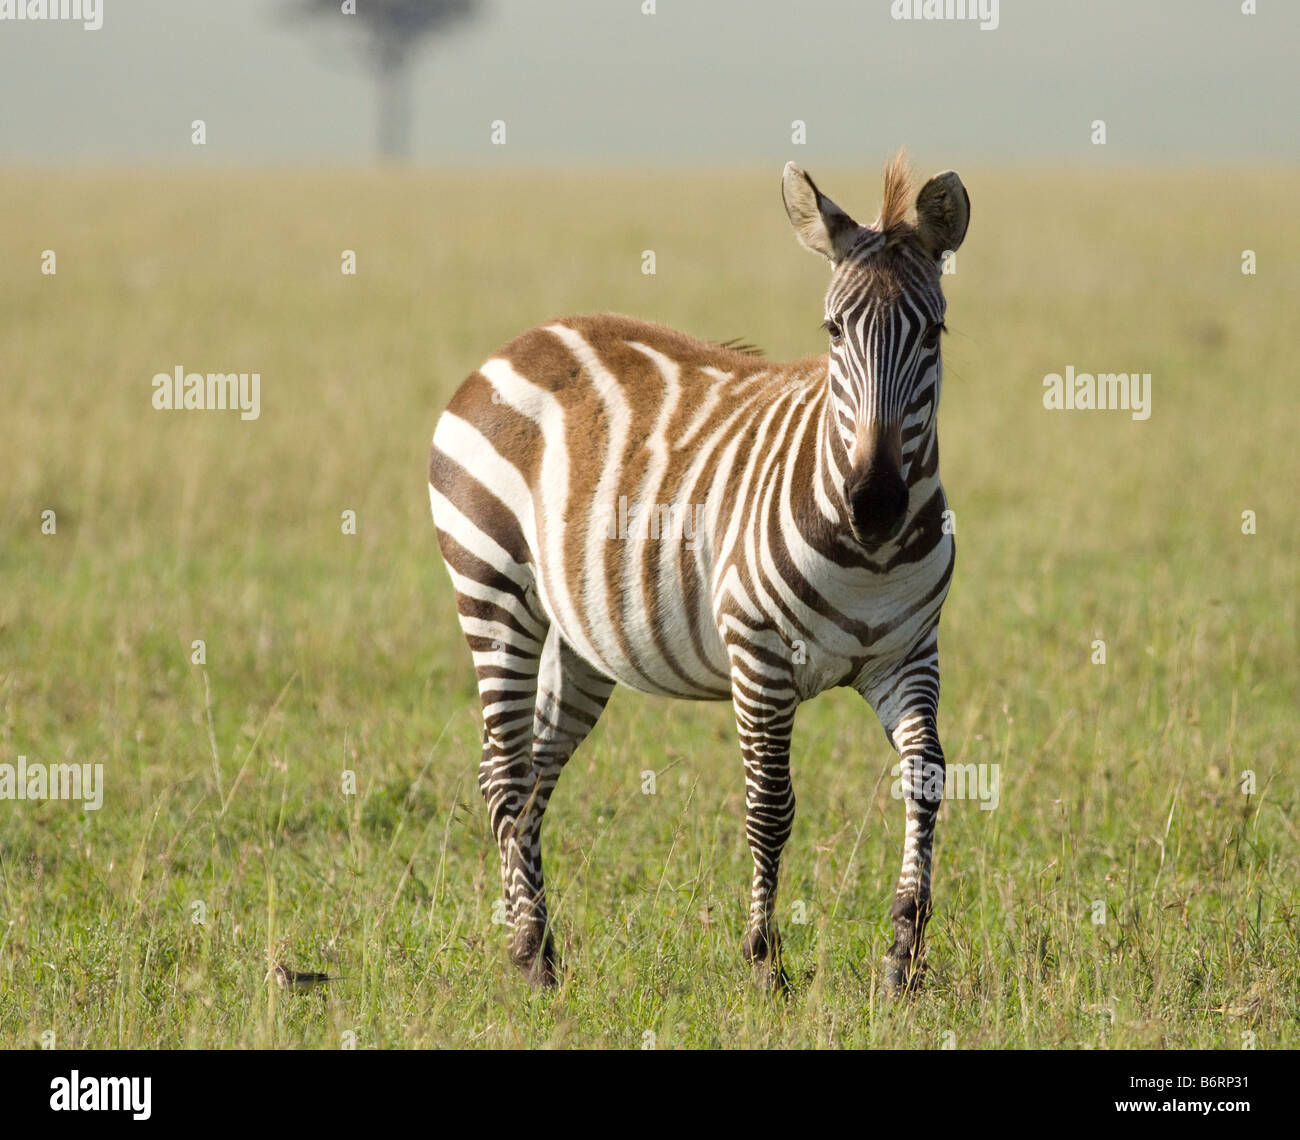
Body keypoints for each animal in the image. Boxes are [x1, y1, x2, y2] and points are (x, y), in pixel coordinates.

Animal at [428, 153, 969, 993]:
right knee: (506, 773)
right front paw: (764, 961)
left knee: (535, 772)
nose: (875, 502)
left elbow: (926, 778)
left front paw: (902, 958)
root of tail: (525, 339)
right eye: (833, 330)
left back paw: (542, 947)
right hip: (491, 587)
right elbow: (769, 805)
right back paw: (530, 956)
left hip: (582, 638)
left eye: (935, 331)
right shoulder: (759, 653)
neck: (871, 557)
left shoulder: (909, 654)